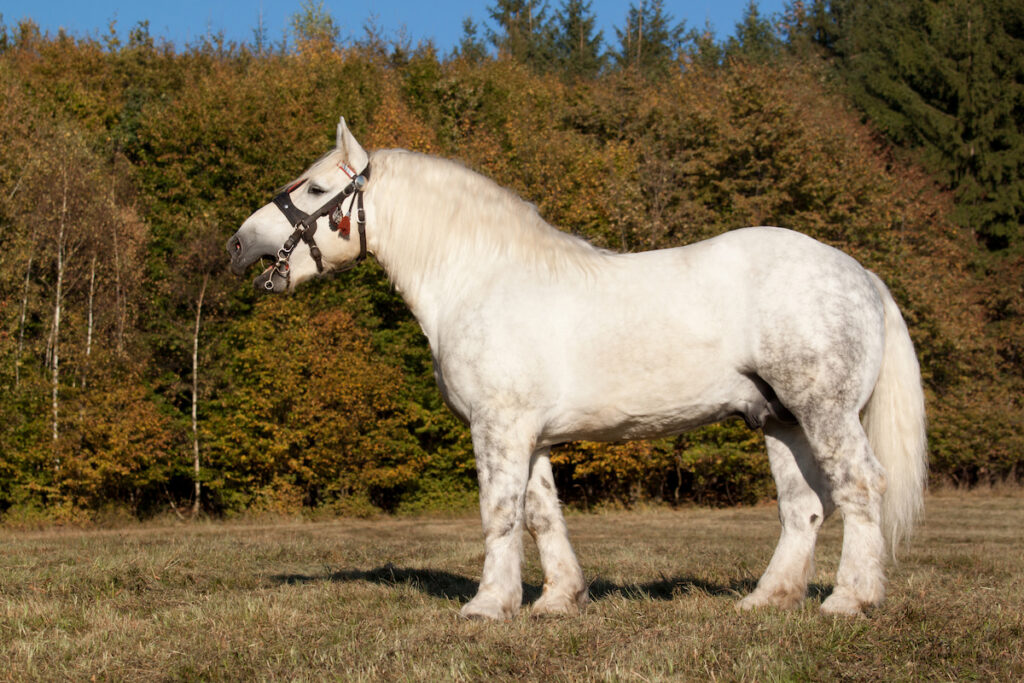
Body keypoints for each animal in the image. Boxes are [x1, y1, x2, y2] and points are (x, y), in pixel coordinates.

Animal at [226, 117, 929, 618]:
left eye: (318, 189)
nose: (239, 245)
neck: (480, 277)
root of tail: (858, 273)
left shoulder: (498, 427)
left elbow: (499, 512)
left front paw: (487, 605)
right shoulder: (530, 436)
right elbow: (541, 514)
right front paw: (557, 600)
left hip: (823, 410)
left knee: (860, 486)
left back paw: (849, 599)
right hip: (779, 419)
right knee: (803, 508)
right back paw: (765, 600)